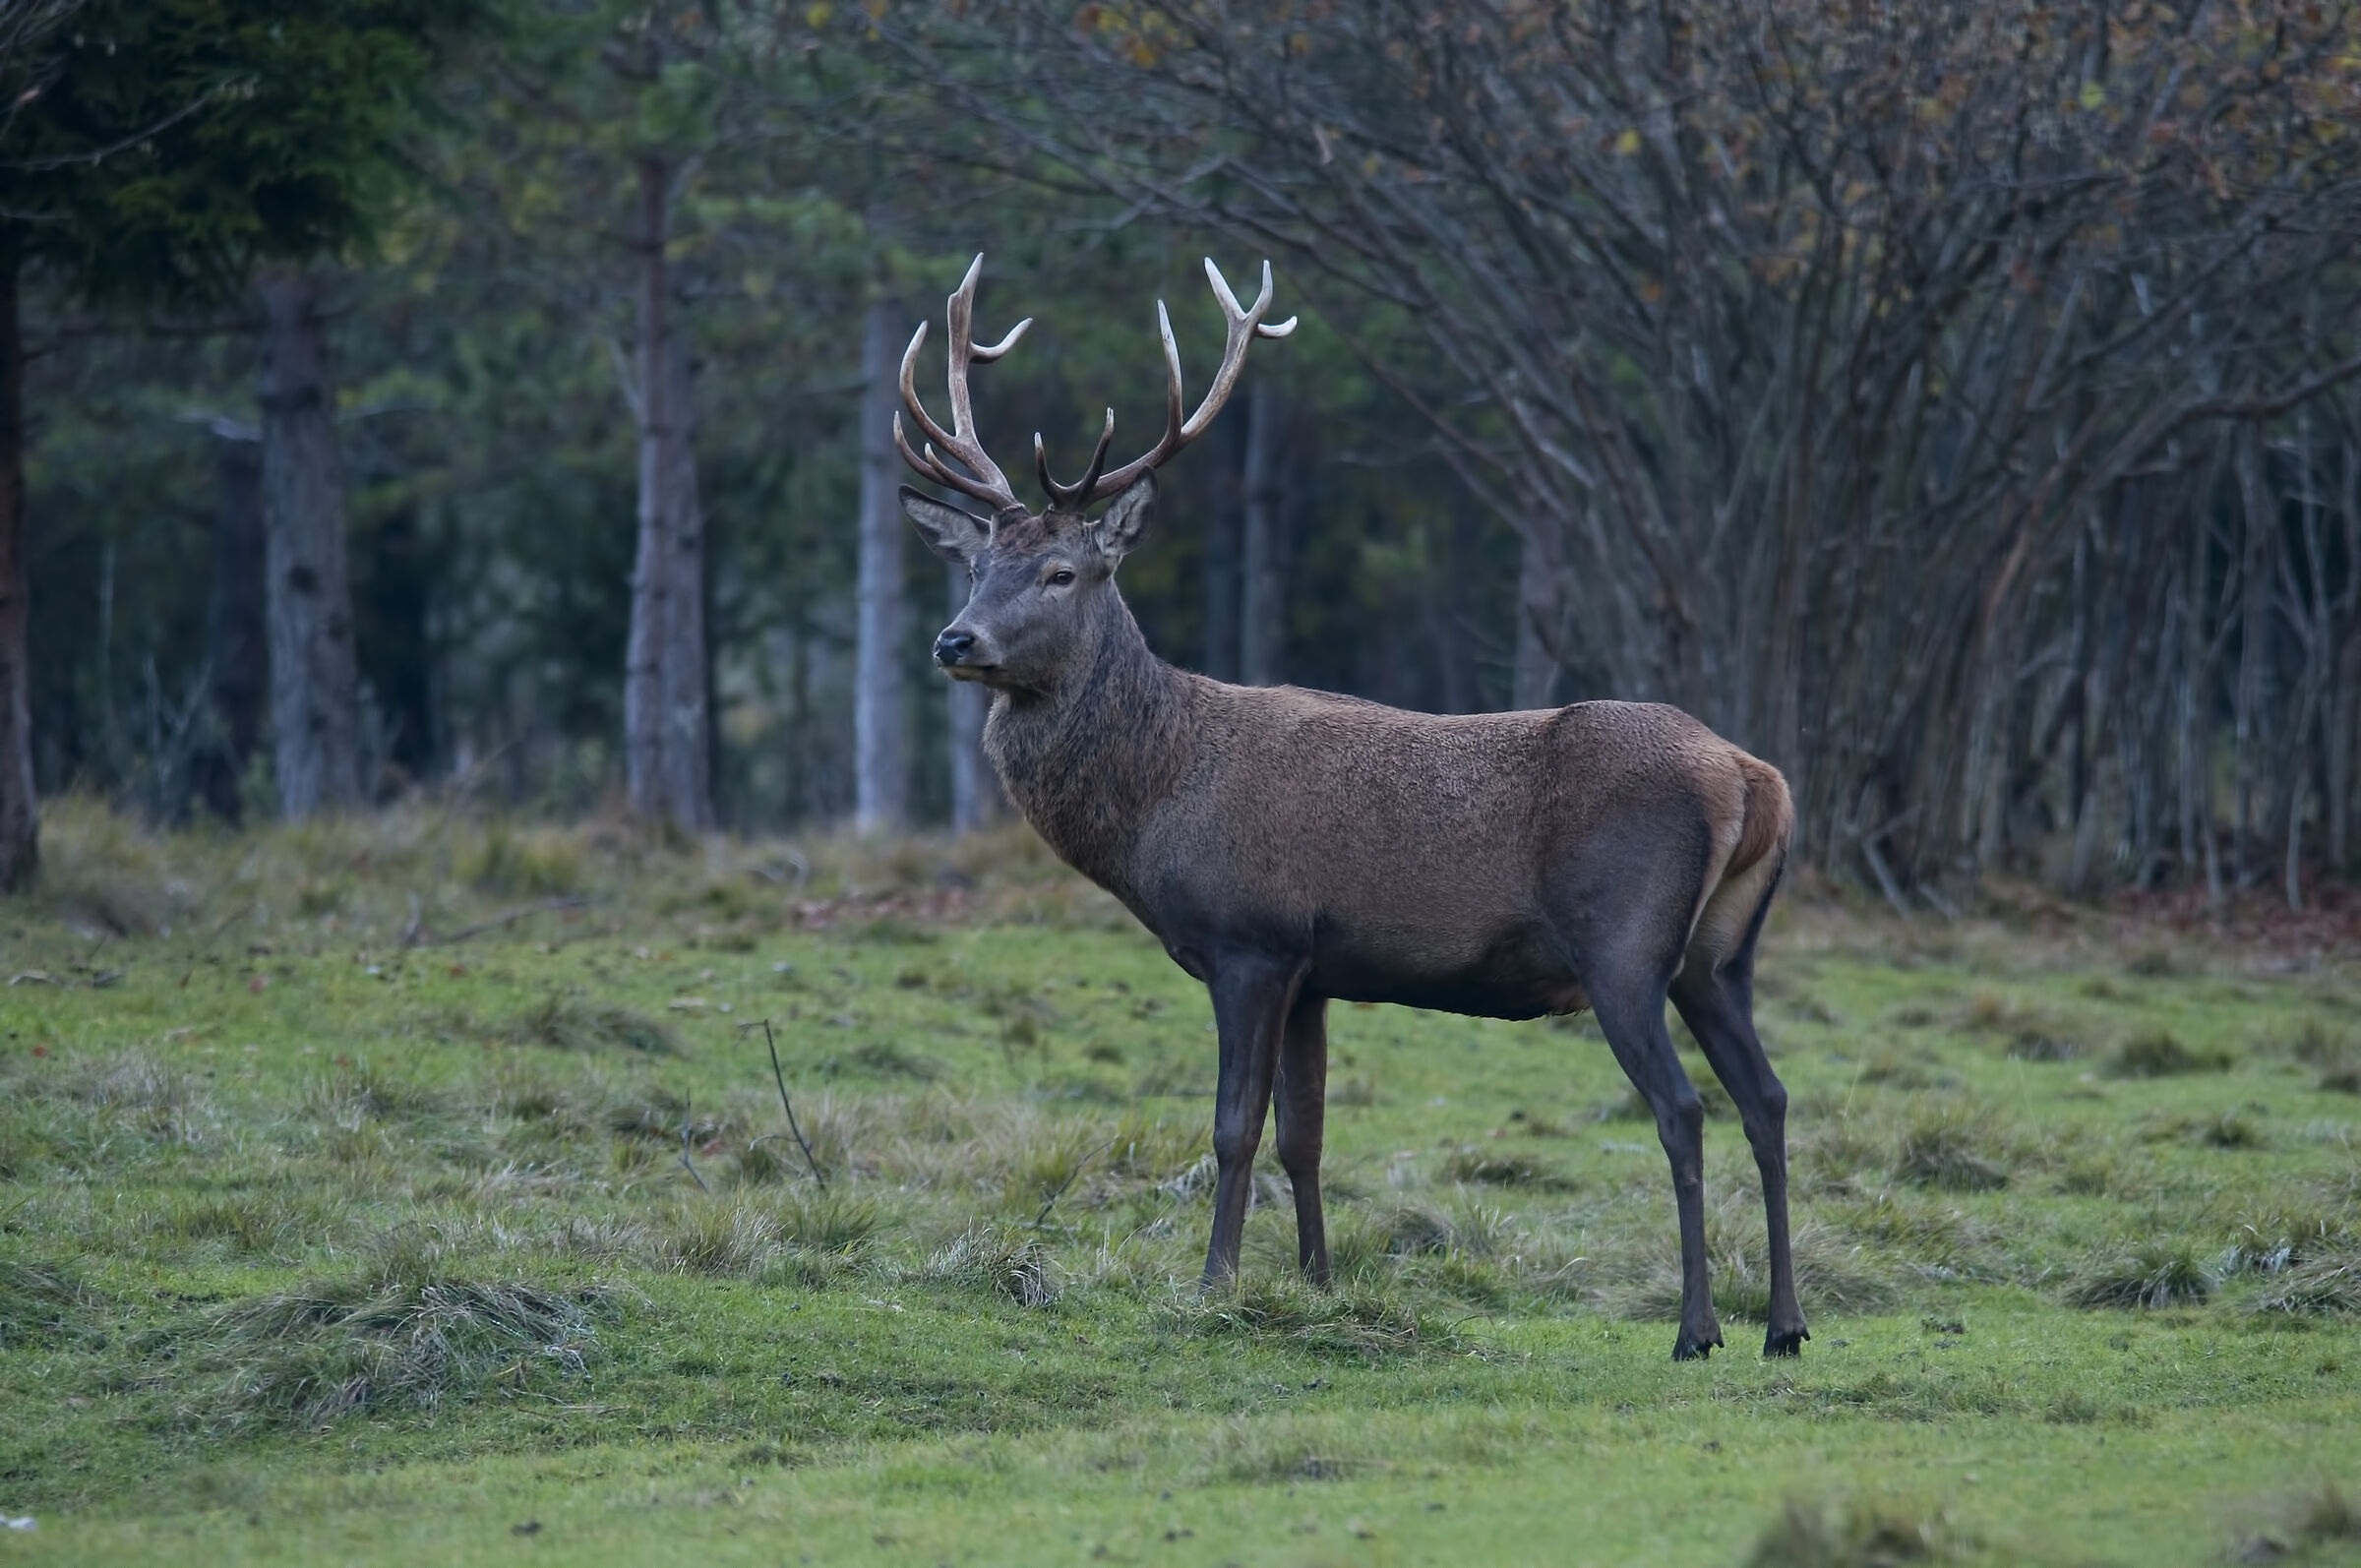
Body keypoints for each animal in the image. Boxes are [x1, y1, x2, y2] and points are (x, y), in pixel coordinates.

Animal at [892, 255, 1803, 1361]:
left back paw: (1695, 1328)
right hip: (1722, 955)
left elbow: (1233, 1128)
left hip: (1625, 945)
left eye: (1062, 572)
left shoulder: (1250, 939)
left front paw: (1214, 1285)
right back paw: (1786, 1326)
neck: (1156, 803)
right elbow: (1306, 1133)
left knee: (1682, 1109)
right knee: (1768, 1098)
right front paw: (1319, 1284)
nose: (956, 640)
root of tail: (1754, 778)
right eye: (978, 566)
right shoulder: (1317, 970)